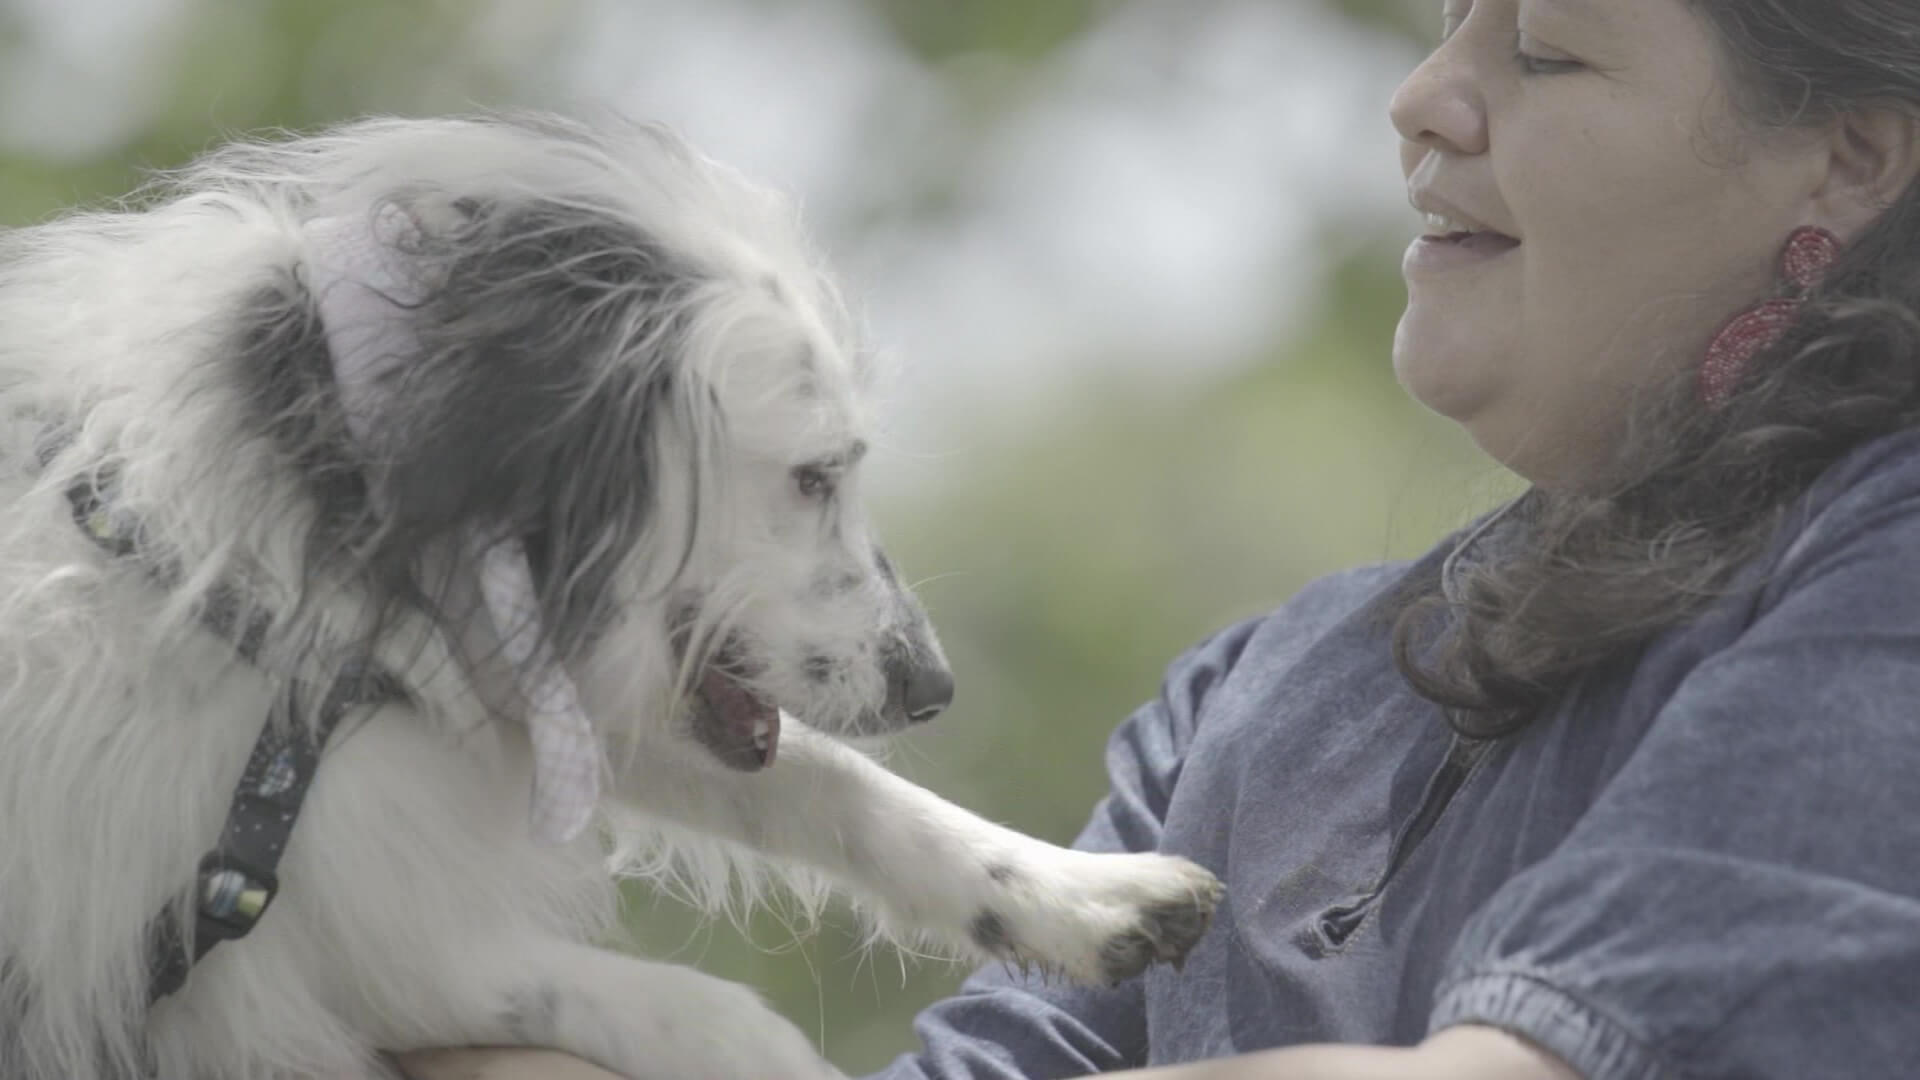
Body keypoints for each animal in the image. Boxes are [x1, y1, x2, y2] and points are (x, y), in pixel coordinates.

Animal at [0, 111, 1213, 1076]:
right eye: (815, 475)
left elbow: (830, 785)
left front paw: (1083, 894)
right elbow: (661, 1007)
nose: (933, 688)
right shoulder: (252, 959)